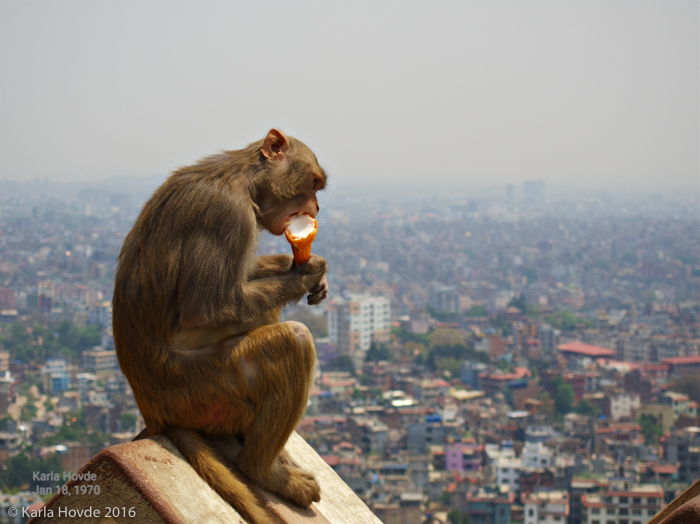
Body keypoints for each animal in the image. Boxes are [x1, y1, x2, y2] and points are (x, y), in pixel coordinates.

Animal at [111, 128, 328, 524]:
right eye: (313, 184)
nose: (316, 209)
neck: (244, 179)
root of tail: (153, 411)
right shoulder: (227, 214)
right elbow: (207, 307)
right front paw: (306, 273)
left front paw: (302, 264)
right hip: (206, 389)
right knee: (291, 342)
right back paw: (264, 470)